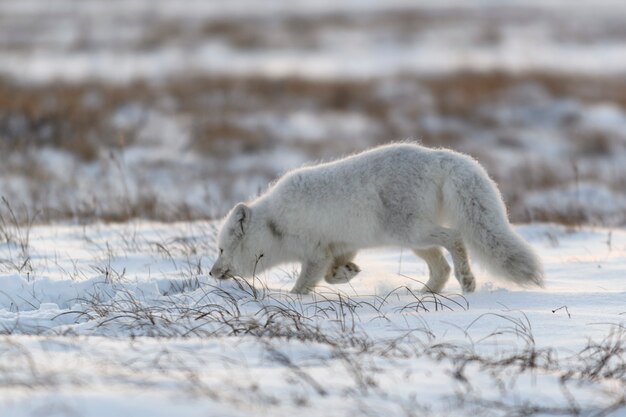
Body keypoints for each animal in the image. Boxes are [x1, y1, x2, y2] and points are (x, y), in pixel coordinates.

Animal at [210, 143, 540, 292]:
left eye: (222, 249)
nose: (211, 273)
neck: (274, 225)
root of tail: (437, 156)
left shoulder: (315, 253)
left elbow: (306, 283)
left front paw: (291, 300)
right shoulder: (341, 246)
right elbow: (331, 275)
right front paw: (347, 274)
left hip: (410, 233)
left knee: (455, 239)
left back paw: (466, 281)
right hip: (414, 241)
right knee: (441, 267)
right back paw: (423, 295)